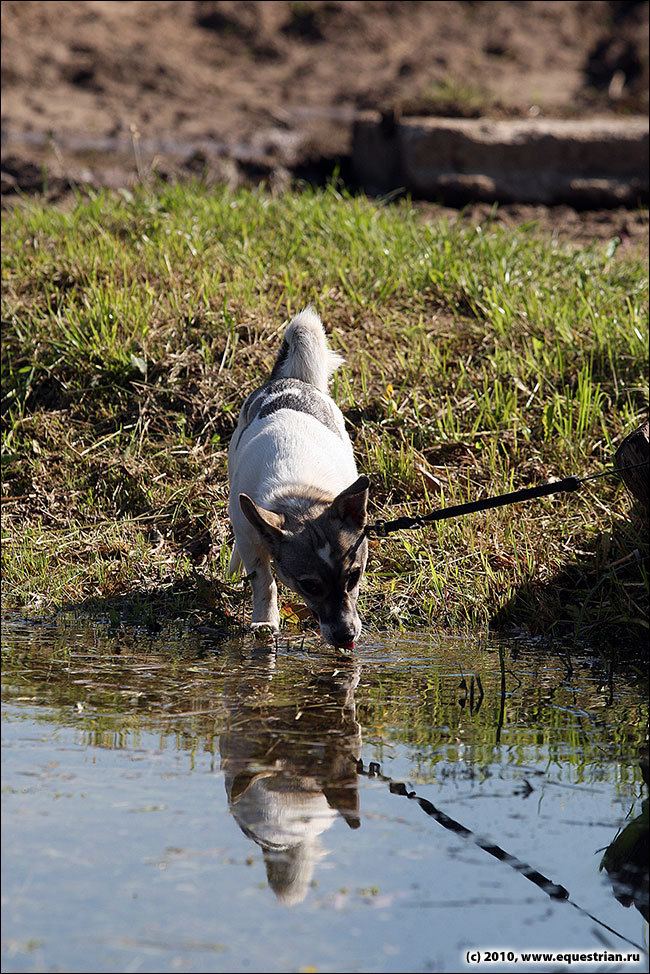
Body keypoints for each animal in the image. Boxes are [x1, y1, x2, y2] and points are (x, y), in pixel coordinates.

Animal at [228, 310, 370, 648]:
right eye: (310, 586)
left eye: (354, 576)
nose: (346, 636)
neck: (298, 495)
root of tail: (290, 380)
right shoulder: (251, 534)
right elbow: (264, 581)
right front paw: (265, 622)